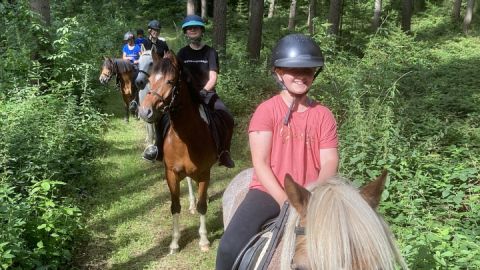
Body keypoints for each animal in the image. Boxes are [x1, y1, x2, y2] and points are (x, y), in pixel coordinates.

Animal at [137, 50, 216, 253]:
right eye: (151, 80)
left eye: (171, 81)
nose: (145, 112)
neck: (186, 138)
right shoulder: (171, 174)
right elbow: (174, 206)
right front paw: (174, 242)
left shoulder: (204, 173)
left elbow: (202, 206)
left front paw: (204, 241)